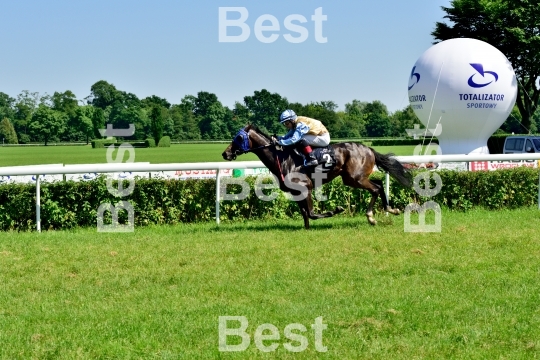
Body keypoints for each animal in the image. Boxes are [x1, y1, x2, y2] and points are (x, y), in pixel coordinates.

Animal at [221, 125, 412, 229]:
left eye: (238, 138)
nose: (225, 153)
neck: (283, 159)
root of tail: (368, 148)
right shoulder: (295, 191)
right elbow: (305, 213)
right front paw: (306, 229)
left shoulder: (306, 187)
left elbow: (312, 213)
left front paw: (337, 209)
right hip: (354, 177)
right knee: (378, 184)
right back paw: (388, 210)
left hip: (354, 178)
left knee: (376, 188)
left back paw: (373, 216)